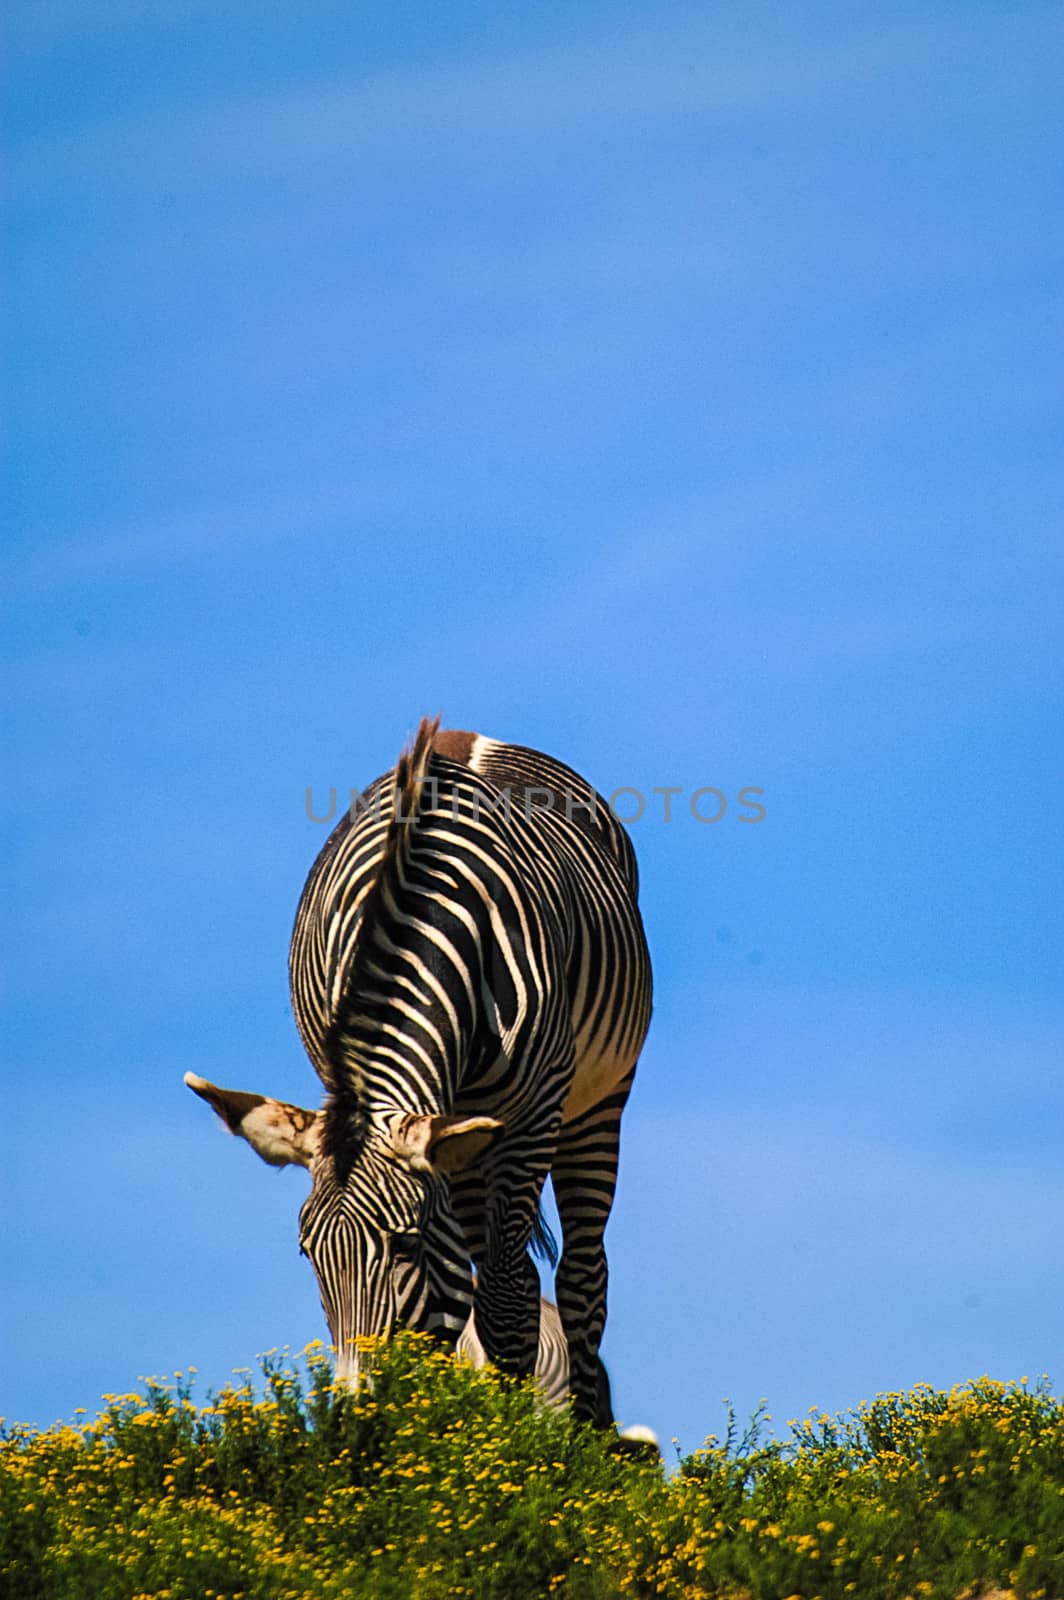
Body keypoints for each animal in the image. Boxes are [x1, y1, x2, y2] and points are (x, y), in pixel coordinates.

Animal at [184, 716, 652, 1427]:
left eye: (402, 1245)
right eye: (308, 1253)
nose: (356, 1418)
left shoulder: (530, 1115)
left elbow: (507, 1302)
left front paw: (509, 1444)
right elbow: (469, 1293)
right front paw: (439, 1430)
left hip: (596, 1104)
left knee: (578, 1276)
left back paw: (588, 1426)